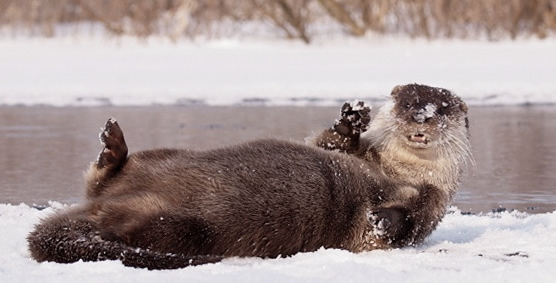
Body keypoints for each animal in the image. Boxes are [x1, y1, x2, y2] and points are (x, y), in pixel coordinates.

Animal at [28, 83, 472, 270]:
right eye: (409, 101)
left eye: (442, 107)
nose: (421, 116)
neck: (390, 169)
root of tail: (97, 211)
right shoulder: (353, 153)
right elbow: (329, 144)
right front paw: (351, 118)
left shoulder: (434, 200)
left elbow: (410, 224)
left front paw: (384, 218)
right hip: (160, 158)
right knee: (102, 177)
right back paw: (112, 145)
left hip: (181, 226)